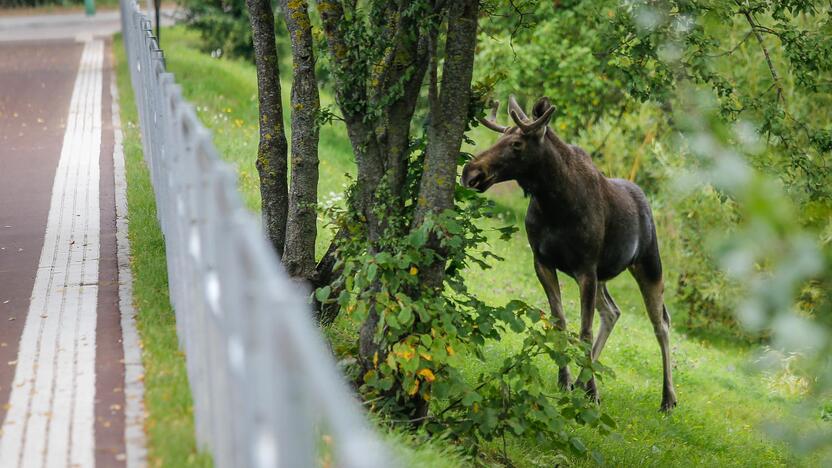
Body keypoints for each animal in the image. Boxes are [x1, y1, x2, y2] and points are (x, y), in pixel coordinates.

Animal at [462, 95, 676, 410]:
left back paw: (668, 398)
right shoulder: (543, 262)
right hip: (603, 276)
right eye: (501, 137)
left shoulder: (585, 267)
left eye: (517, 144)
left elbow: (584, 331)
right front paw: (565, 380)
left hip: (648, 264)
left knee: (660, 323)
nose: (471, 172)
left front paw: (593, 392)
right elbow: (560, 322)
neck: (554, 200)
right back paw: (580, 380)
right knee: (613, 311)